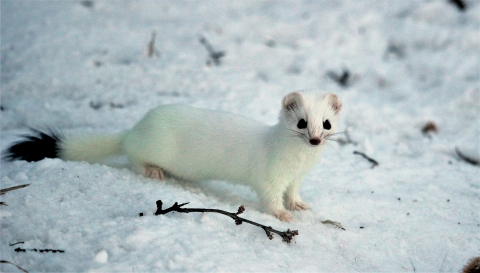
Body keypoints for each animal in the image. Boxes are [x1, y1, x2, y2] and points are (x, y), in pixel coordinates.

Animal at [7, 91, 340, 221]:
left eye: (326, 123)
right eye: (301, 122)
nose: (314, 139)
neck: (297, 163)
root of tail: (137, 127)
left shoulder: (296, 178)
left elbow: (293, 192)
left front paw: (298, 204)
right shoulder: (269, 175)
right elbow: (270, 197)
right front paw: (282, 214)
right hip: (150, 147)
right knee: (132, 156)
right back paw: (153, 170)